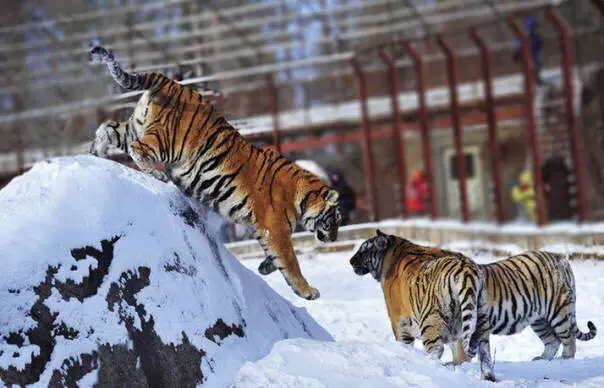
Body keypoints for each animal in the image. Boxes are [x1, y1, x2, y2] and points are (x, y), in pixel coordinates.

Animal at [88, 46, 340, 300]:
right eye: (335, 220)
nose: (334, 239)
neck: (301, 198)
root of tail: (171, 82)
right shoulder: (274, 228)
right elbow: (290, 260)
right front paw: (308, 291)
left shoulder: (261, 227)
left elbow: (275, 256)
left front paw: (264, 267)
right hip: (166, 142)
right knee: (136, 148)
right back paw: (158, 175)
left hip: (135, 127)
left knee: (106, 129)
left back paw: (94, 153)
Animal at [350, 230, 496, 382]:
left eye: (364, 249)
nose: (350, 261)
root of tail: (466, 269)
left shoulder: (399, 323)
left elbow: (405, 345)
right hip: (480, 322)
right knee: (482, 357)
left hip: (430, 321)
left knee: (437, 351)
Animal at [452, 250, 596, 362]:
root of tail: (560, 259)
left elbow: (461, 349)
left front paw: (460, 364)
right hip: (539, 319)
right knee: (553, 340)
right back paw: (541, 359)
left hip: (558, 312)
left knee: (569, 337)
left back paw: (565, 358)